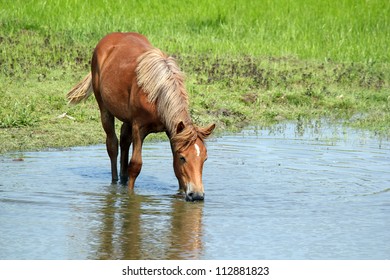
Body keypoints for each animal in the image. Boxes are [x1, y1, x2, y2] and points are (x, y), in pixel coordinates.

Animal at [65, 32, 215, 201]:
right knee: (112, 145)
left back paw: (122, 179)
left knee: (124, 141)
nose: (197, 195)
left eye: (205, 158)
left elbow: (175, 170)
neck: (157, 95)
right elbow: (136, 165)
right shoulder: (139, 127)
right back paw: (115, 181)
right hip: (105, 110)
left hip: (126, 119)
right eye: (183, 158)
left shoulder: (171, 132)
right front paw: (129, 196)